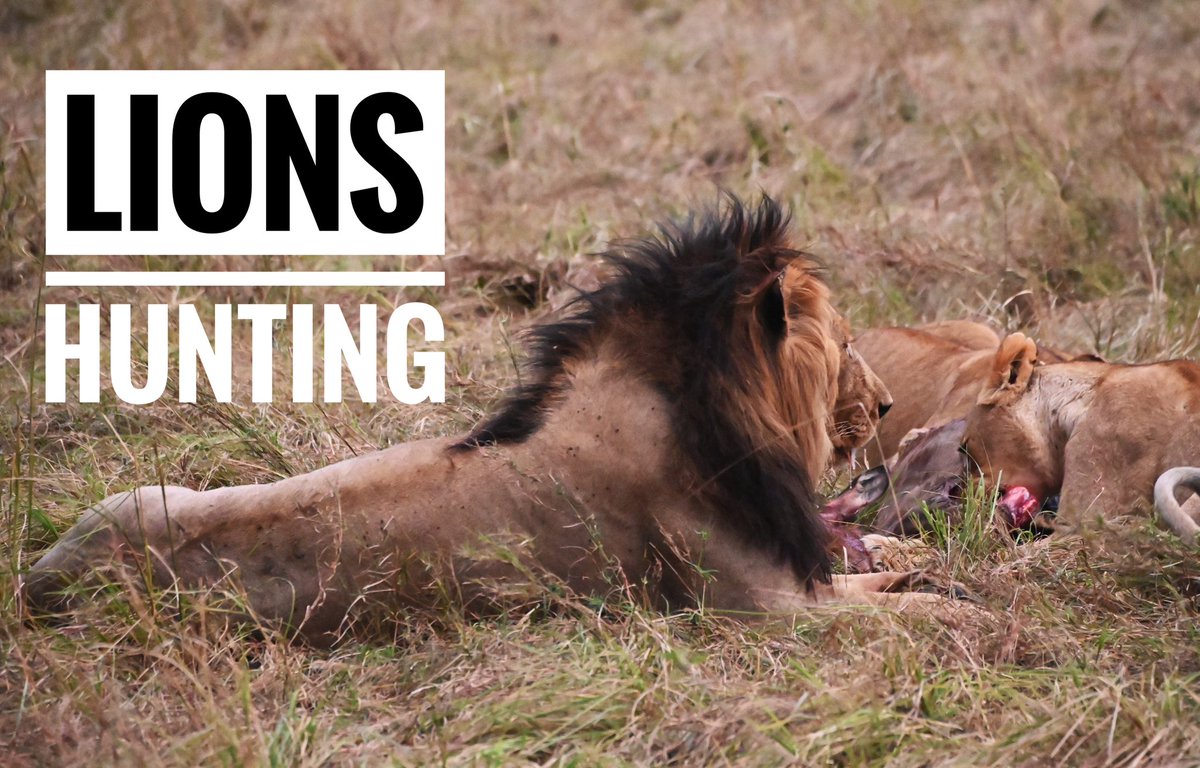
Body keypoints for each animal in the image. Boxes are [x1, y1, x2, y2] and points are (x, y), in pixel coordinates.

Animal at [23, 198, 943, 645]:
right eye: (848, 344)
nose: (887, 407)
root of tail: (39, 584)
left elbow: (898, 575)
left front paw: (924, 563)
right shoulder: (759, 612)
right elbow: (923, 615)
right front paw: (959, 610)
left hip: (145, 493)